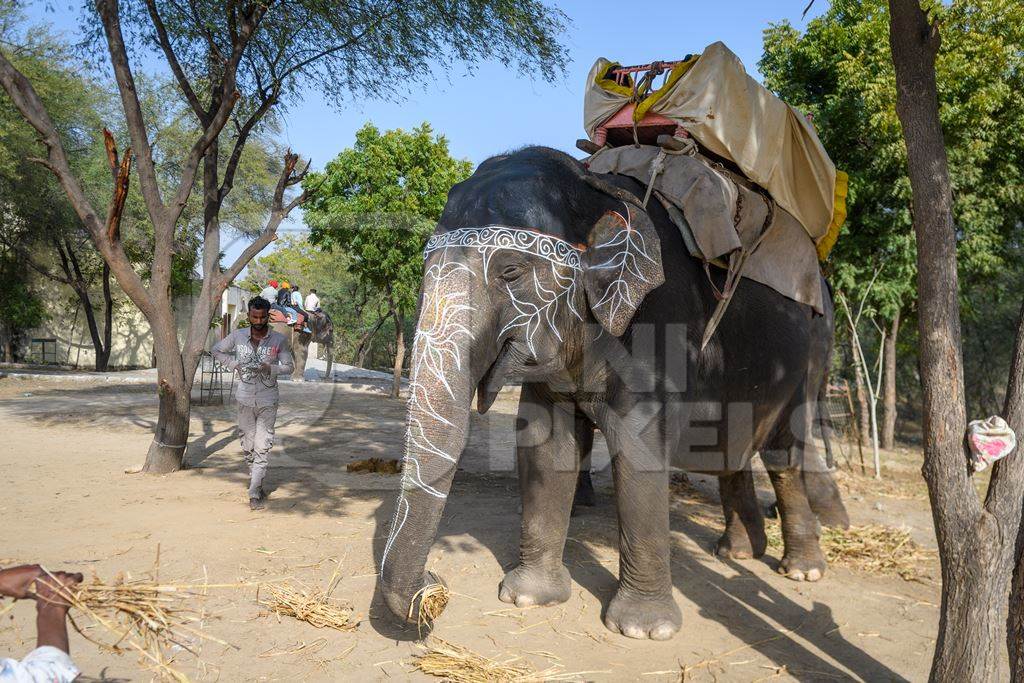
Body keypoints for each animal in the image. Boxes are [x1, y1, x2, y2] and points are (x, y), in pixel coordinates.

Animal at [376, 148, 847, 643]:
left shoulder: (661, 327)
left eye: (511, 272)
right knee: (730, 448)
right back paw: (736, 554)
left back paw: (802, 570)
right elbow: (547, 446)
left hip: (812, 357)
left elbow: (639, 447)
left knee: (784, 450)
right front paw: (528, 597)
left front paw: (644, 630)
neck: (594, 188)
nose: (435, 589)